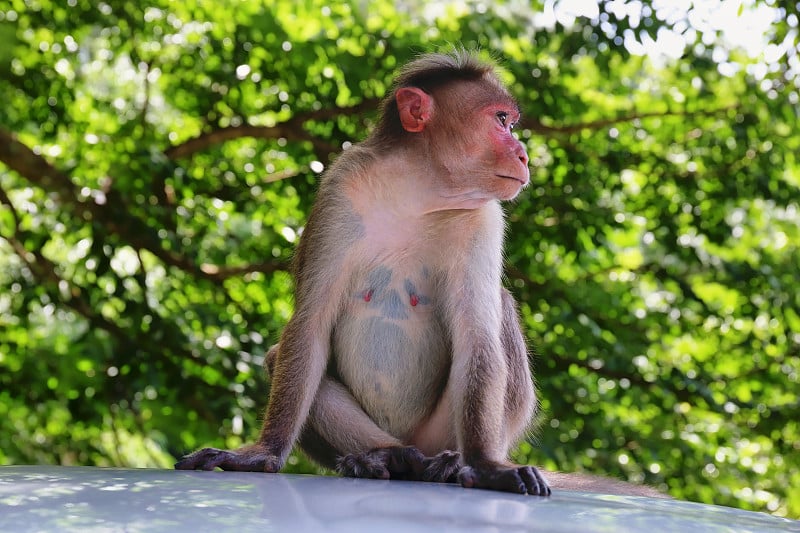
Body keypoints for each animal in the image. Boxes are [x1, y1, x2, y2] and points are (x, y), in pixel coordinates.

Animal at [177, 51, 656, 498]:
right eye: (502, 120)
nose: (522, 154)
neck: (418, 191)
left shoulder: (484, 218)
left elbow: (476, 333)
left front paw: (487, 467)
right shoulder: (340, 188)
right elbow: (311, 321)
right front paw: (263, 452)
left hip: (441, 431)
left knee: (497, 308)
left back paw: (453, 463)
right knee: (283, 360)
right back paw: (389, 458)